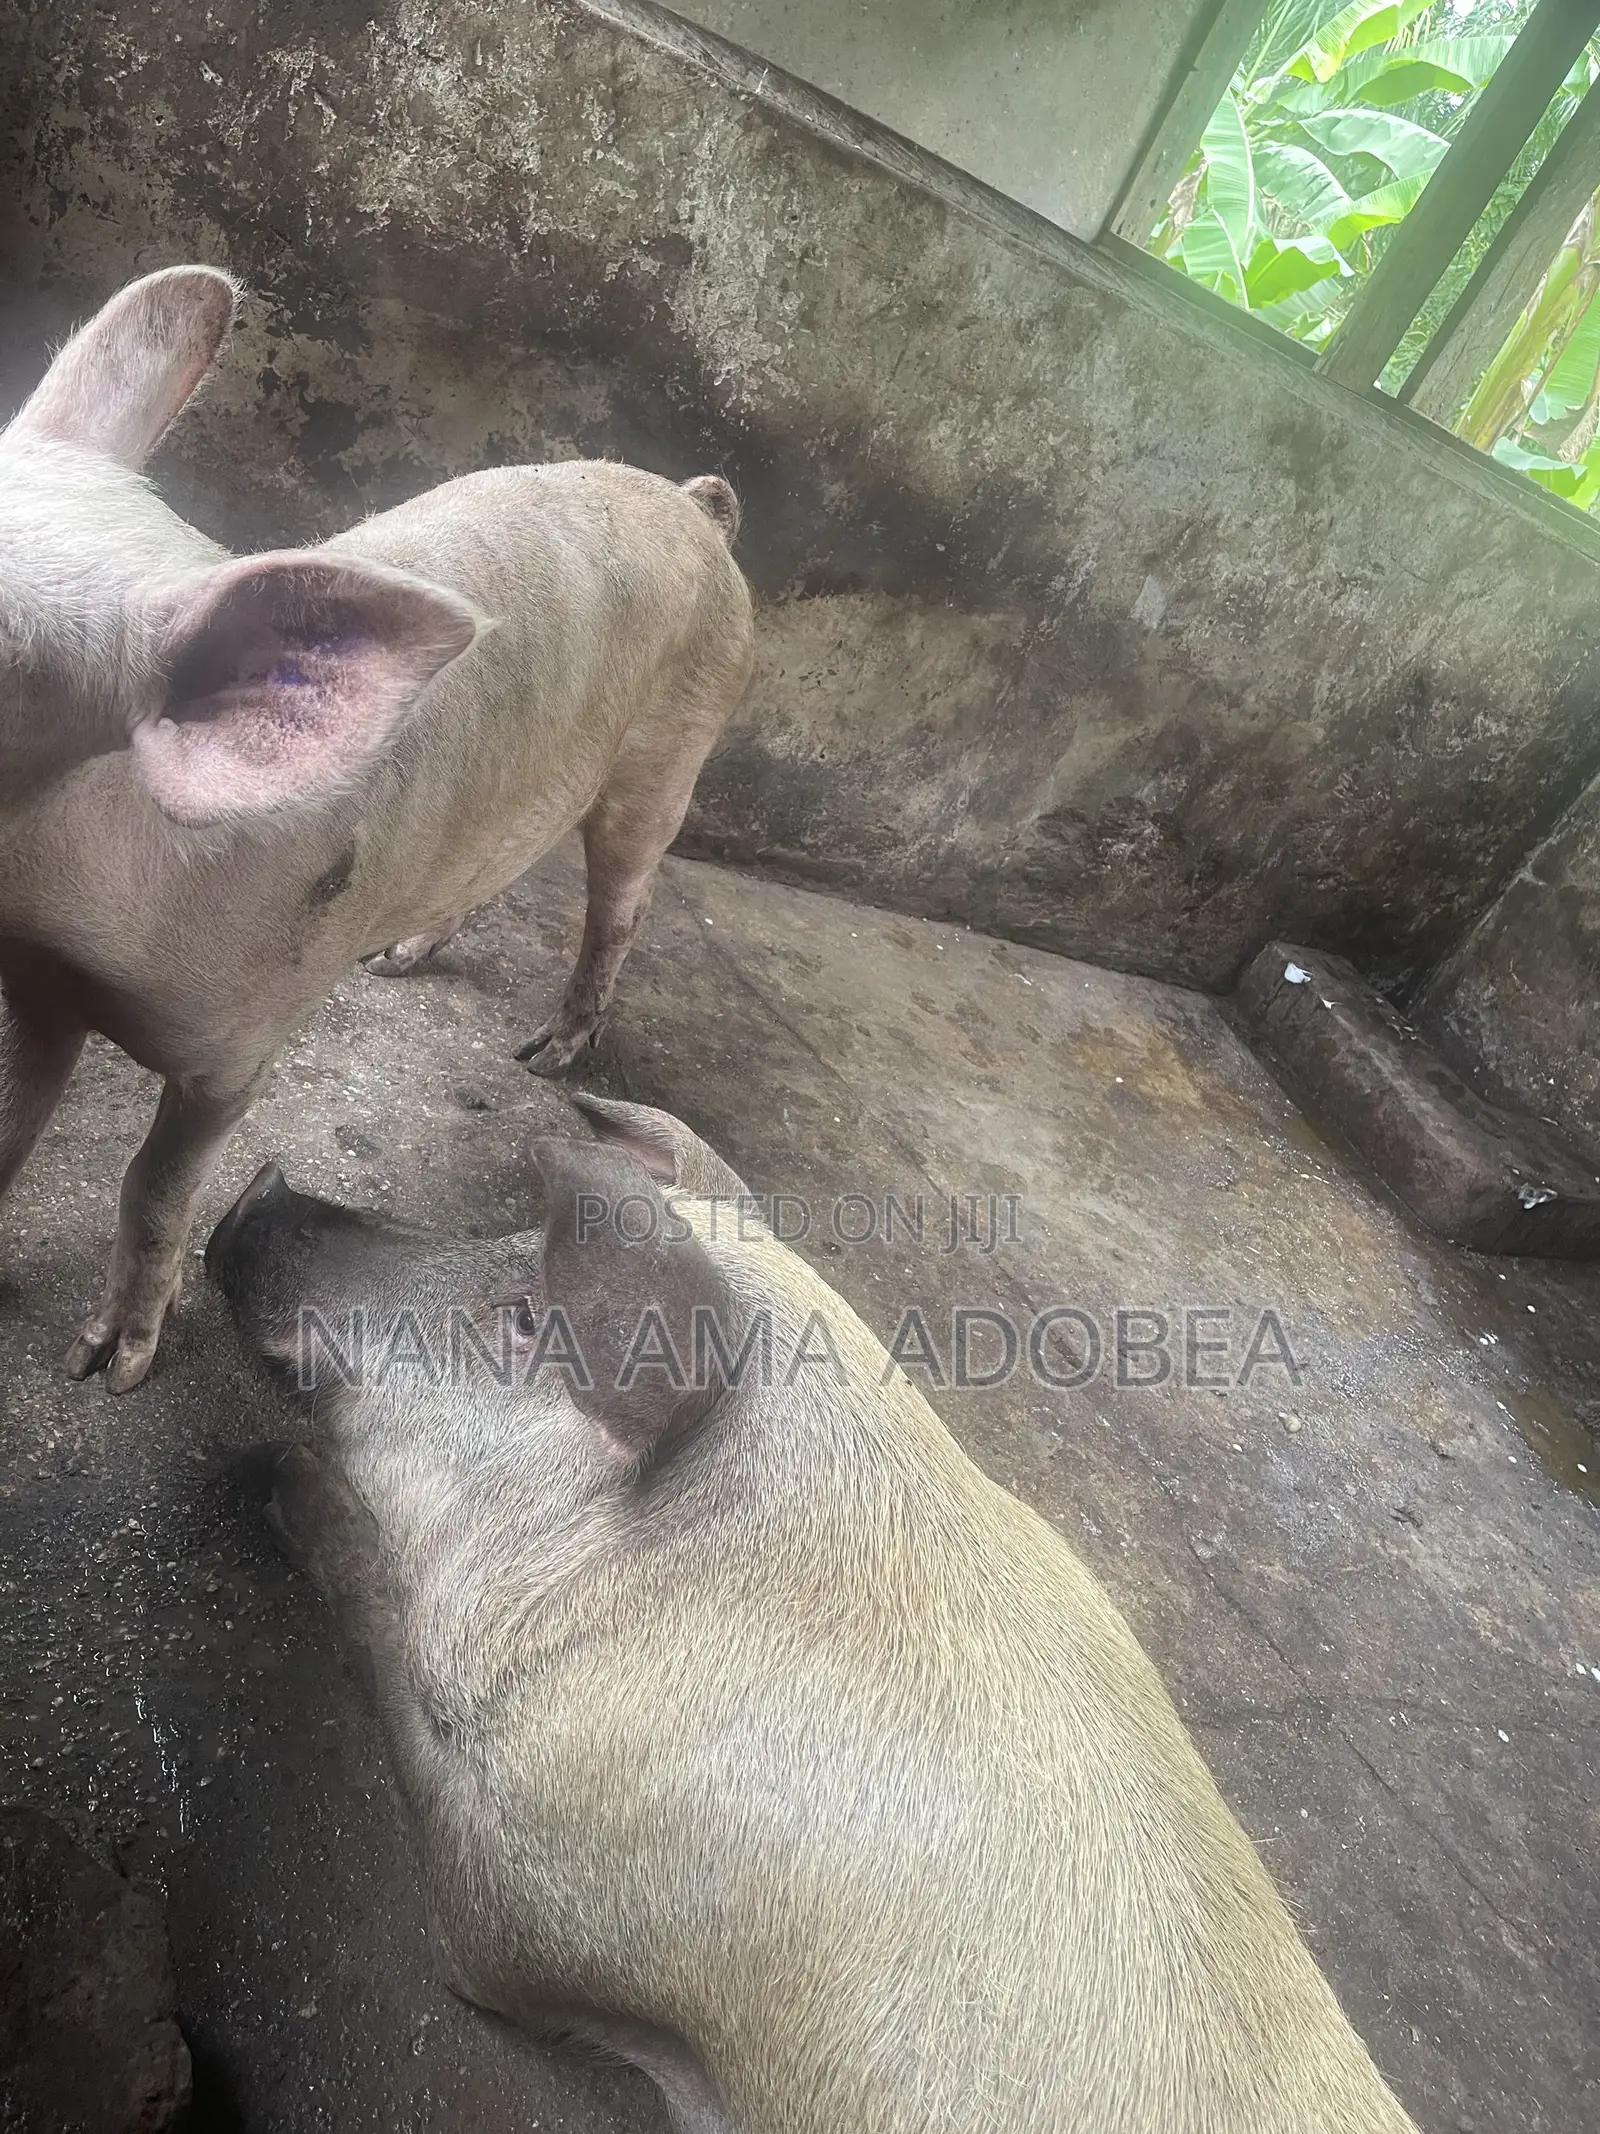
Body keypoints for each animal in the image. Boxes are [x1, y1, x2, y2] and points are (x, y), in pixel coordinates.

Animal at [0, 266, 753, 1390]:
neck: (71, 931)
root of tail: (698, 508)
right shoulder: (35, 993)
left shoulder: (239, 1046)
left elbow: (156, 1183)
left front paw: (105, 1367)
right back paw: (396, 962)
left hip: (673, 755)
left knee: (621, 898)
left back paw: (546, 1055)